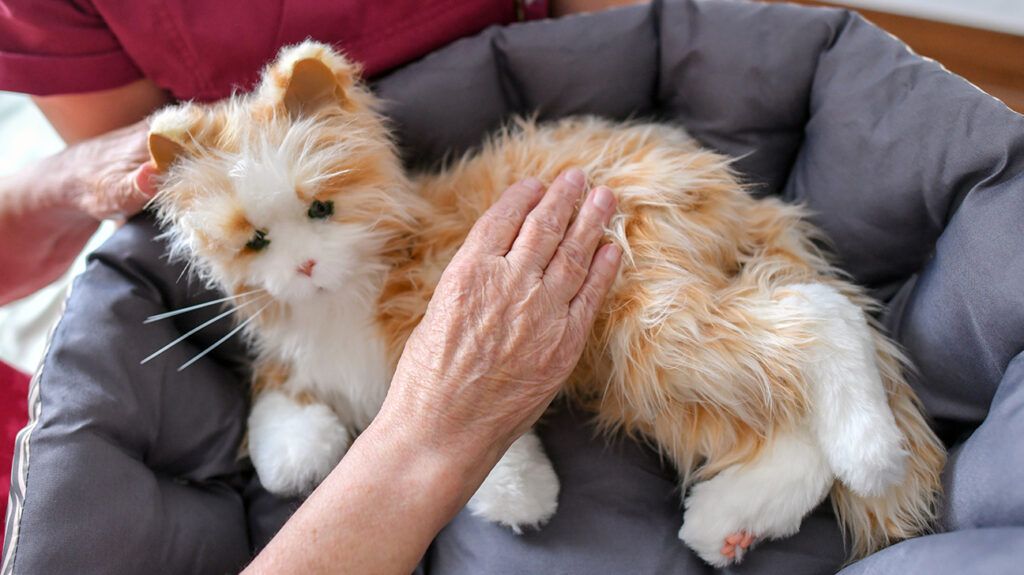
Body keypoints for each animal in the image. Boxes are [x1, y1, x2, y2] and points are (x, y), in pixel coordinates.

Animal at [144, 41, 942, 564]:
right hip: (645, 366)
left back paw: (870, 452)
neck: (343, 296)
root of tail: (738, 196)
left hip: (648, 319)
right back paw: (727, 523)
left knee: (820, 316)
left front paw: (521, 496)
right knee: (792, 434)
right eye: (255, 242)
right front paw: (308, 451)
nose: (306, 264)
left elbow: (472, 440)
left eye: (321, 208)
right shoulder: (292, 362)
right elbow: (283, 446)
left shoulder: (455, 339)